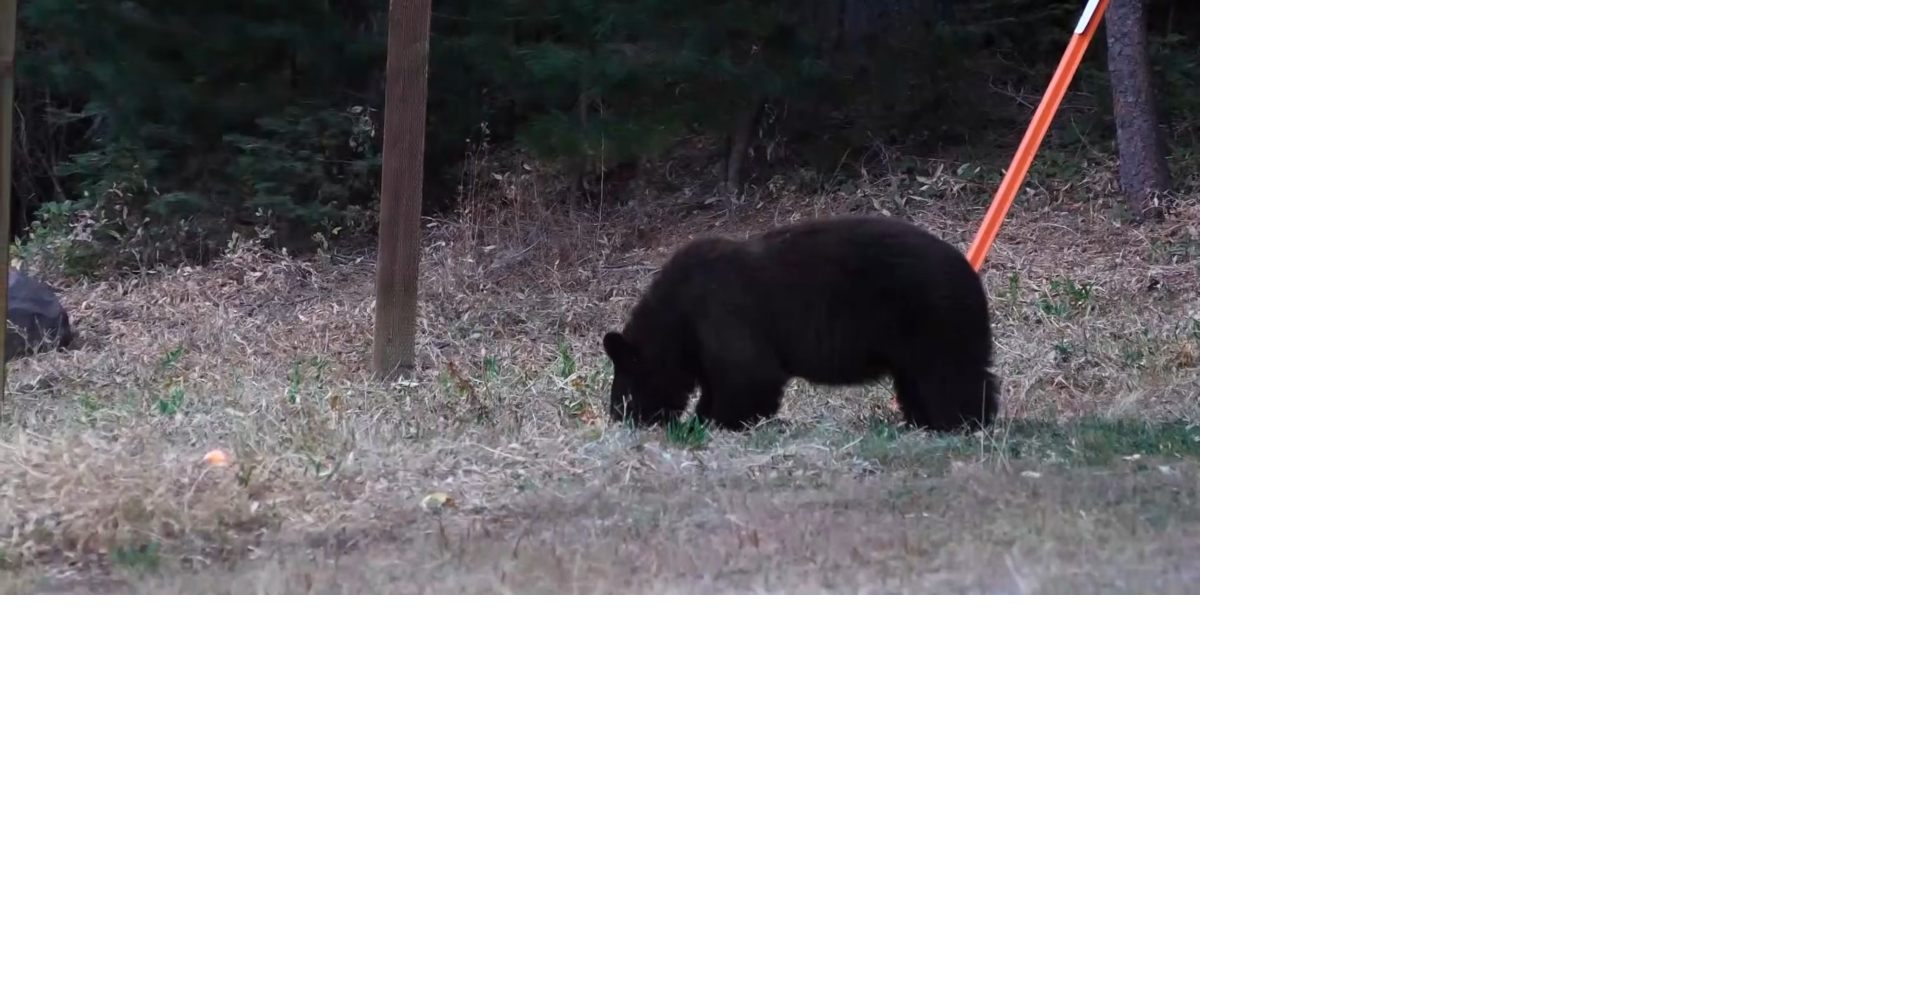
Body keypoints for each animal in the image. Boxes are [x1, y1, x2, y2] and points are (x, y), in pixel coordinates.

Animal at [602, 215, 999, 432]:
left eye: (624, 392)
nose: (619, 418)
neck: (678, 316)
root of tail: (971, 274)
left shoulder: (722, 312)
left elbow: (750, 374)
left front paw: (720, 422)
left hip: (933, 320)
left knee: (951, 375)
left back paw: (962, 423)